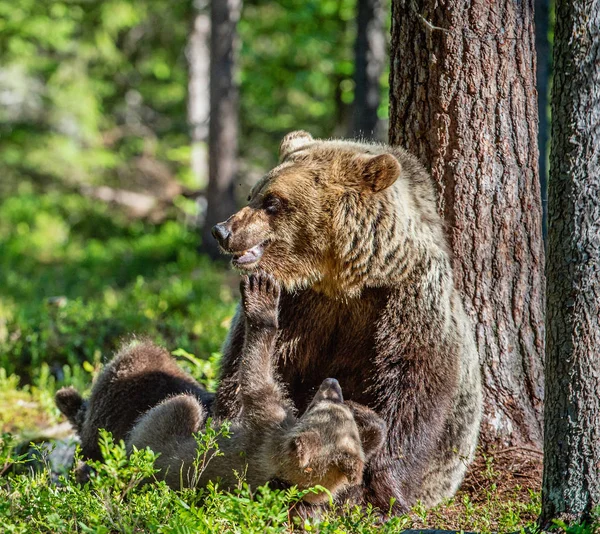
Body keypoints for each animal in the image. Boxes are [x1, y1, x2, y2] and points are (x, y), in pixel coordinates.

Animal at [211, 132, 482, 512]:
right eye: (253, 193)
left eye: (273, 201)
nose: (222, 230)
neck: (340, 279)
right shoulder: (300, 305)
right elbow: (250, 366)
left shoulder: (407, 300)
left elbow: (413, 392)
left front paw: (382, 493)